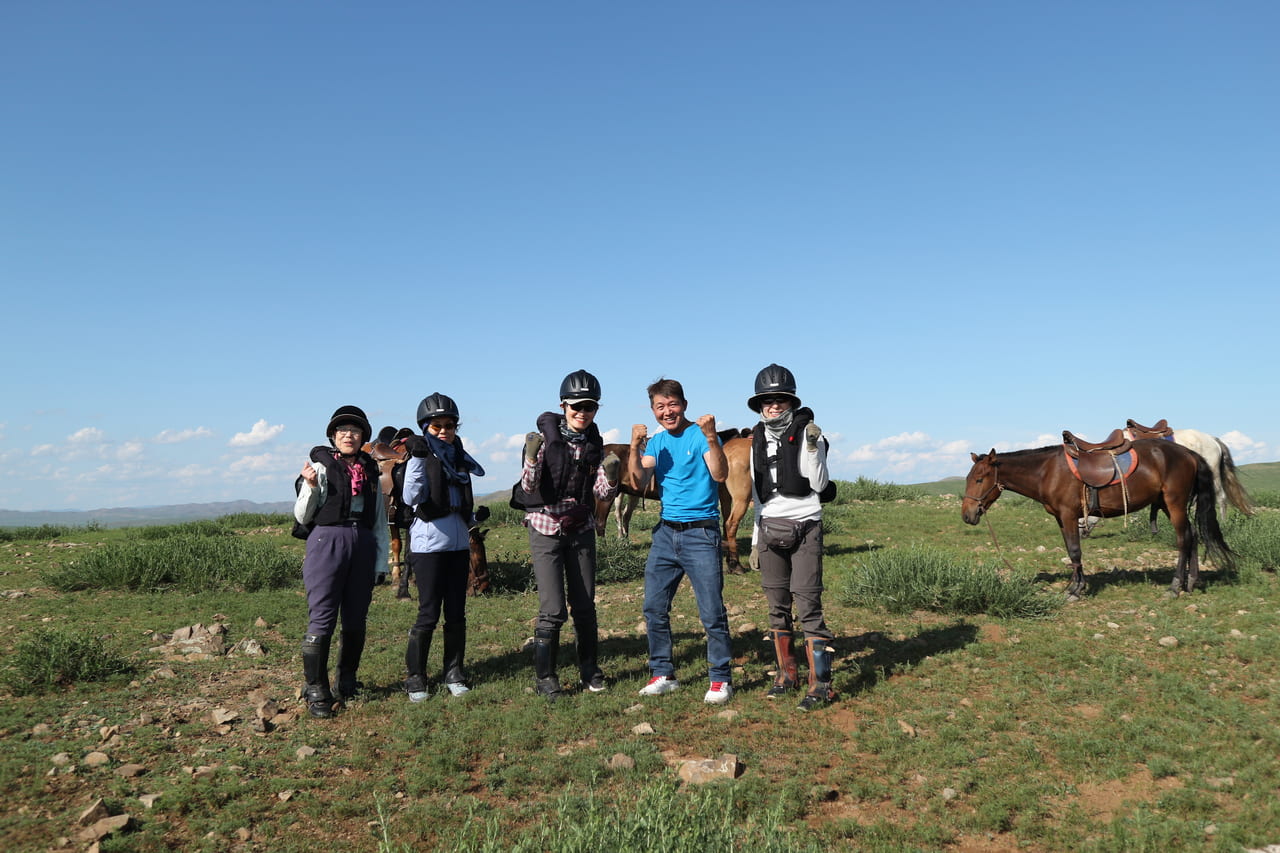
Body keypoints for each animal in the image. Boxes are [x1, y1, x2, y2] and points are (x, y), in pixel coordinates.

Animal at [962, 435, 1233, 594]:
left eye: (979, 479)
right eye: (968, 478)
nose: (967, 515)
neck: (1047, 471)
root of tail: (1189, 453)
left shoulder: (1069, 515)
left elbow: (1074, 550)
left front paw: (1074, 590)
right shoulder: (1061, 518)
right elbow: (1071, 551)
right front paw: (1077, 585)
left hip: (1174, 503)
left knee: (1183, 539)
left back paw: (1175, 586)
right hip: (1167, 504)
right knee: (1193, 535)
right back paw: (1191, 582)